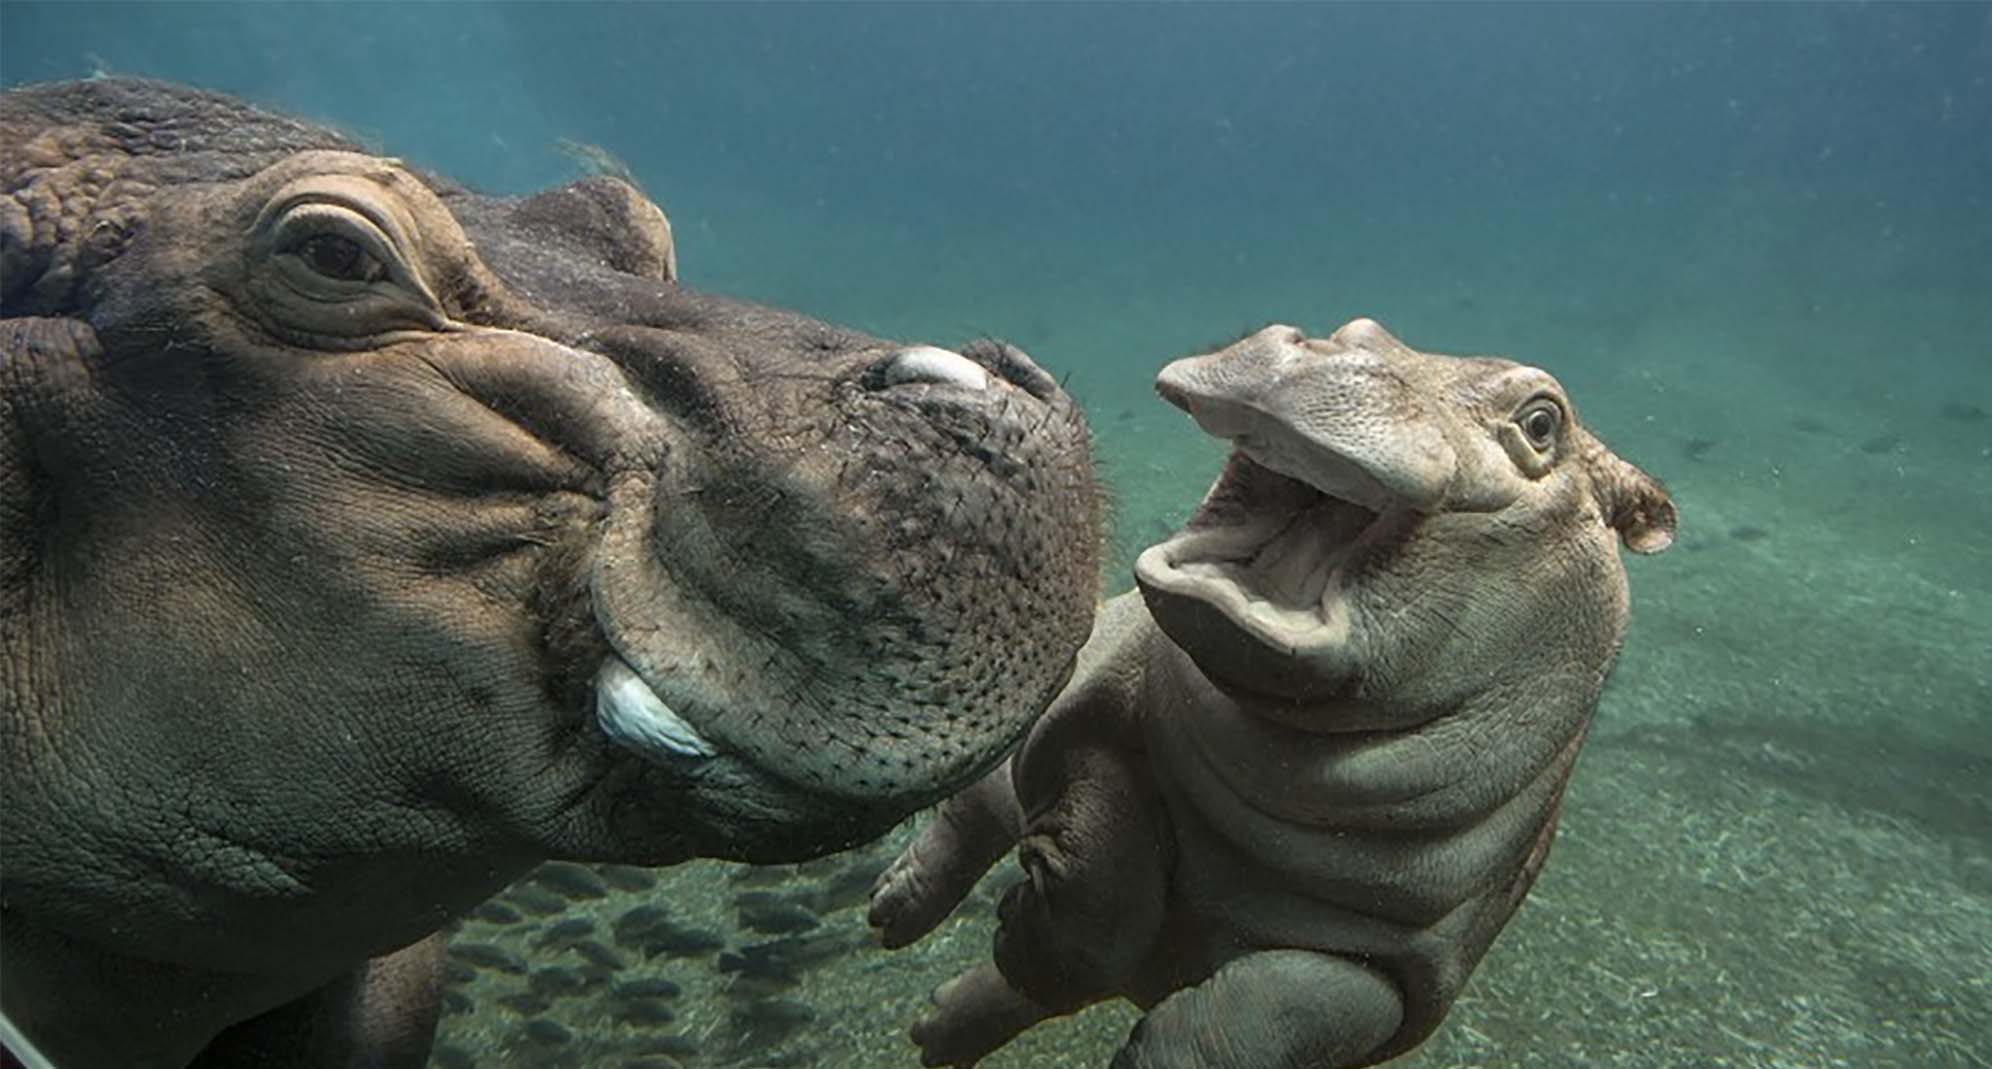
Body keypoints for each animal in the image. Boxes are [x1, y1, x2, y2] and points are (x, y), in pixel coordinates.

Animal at [870, 319, 1676, 1068]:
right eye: (1358, 328)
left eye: (1542, 423)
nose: (1324, 349)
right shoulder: (1100, 719)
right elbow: (1102, 886)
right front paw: (1020, 921)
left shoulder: (1402, 969)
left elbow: (1292, 1008)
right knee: (979, 808)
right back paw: (894, 915)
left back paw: (934, 1027)